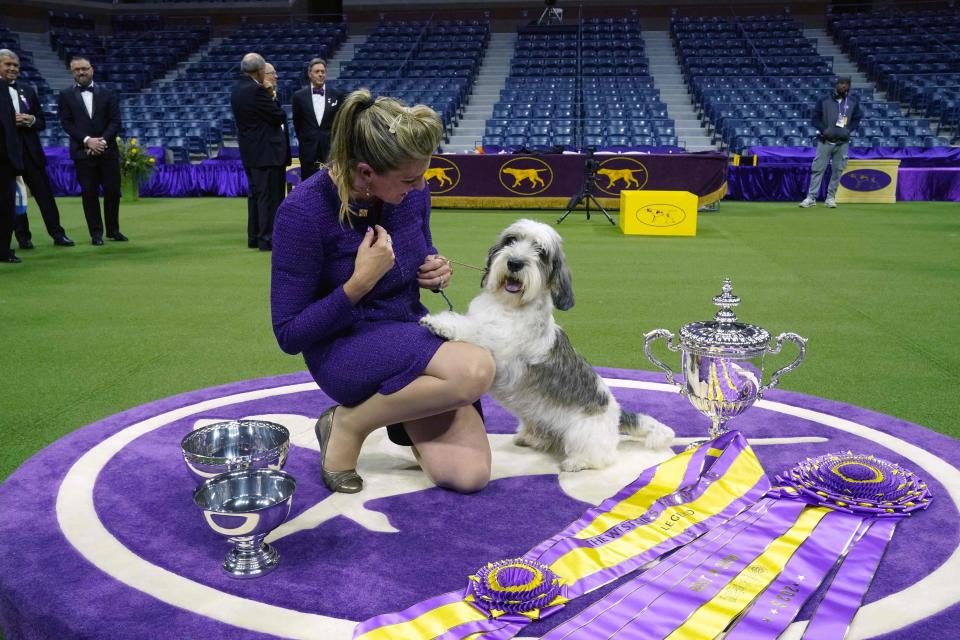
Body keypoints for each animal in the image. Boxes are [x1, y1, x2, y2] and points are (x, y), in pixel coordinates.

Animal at [420, 219, 676, 470]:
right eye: (511, 240)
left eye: (541, 252)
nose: (514, 263)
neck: (509, 306)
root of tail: (618, 413)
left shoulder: (500, 355)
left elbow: (473, 329)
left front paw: (440, 323)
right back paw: (531, 438)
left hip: (582, 433)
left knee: (603, 457)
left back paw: (578, 462)